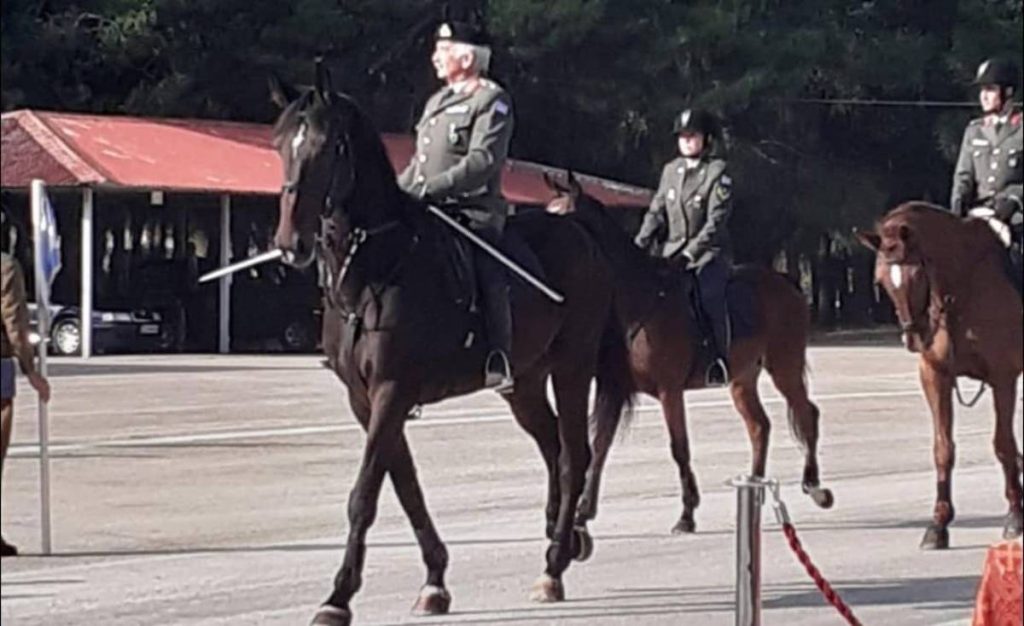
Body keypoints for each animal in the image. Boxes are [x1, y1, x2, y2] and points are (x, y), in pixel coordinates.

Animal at [266, 68, 630, 626]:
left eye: (328, 146)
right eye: (280, 143)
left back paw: (553, 566)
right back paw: (565, 540)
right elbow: (405, 486)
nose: (292, 243)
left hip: (572, 367)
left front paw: (338, 597)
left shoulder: (392, 390)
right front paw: (435, 579)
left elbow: (365, 493)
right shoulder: (365, 399)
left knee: (574, 454)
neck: (376, 267)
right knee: (551, 445)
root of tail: (581, 232)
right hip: (524, 381)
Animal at [544, 174, 831, 536]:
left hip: (784, 367)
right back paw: (754, 485)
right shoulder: (615, 388)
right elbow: (600, 447)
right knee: (759, 426)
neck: (639, 301)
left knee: (807, 414)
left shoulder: (669, 391)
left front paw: (686, 514)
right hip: (742, 378)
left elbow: (678, 448)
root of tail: (789, 286)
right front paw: (583, 513)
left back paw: (815, 487)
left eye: (563, 220)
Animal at [860, 201, 1019, 549]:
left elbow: (1003, 444)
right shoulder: (935, 375)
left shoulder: (1004, 376)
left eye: (918, 273)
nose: (914, 337)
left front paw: (1015, 516)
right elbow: (943, 448)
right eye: (881, 281)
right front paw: (938, 524)